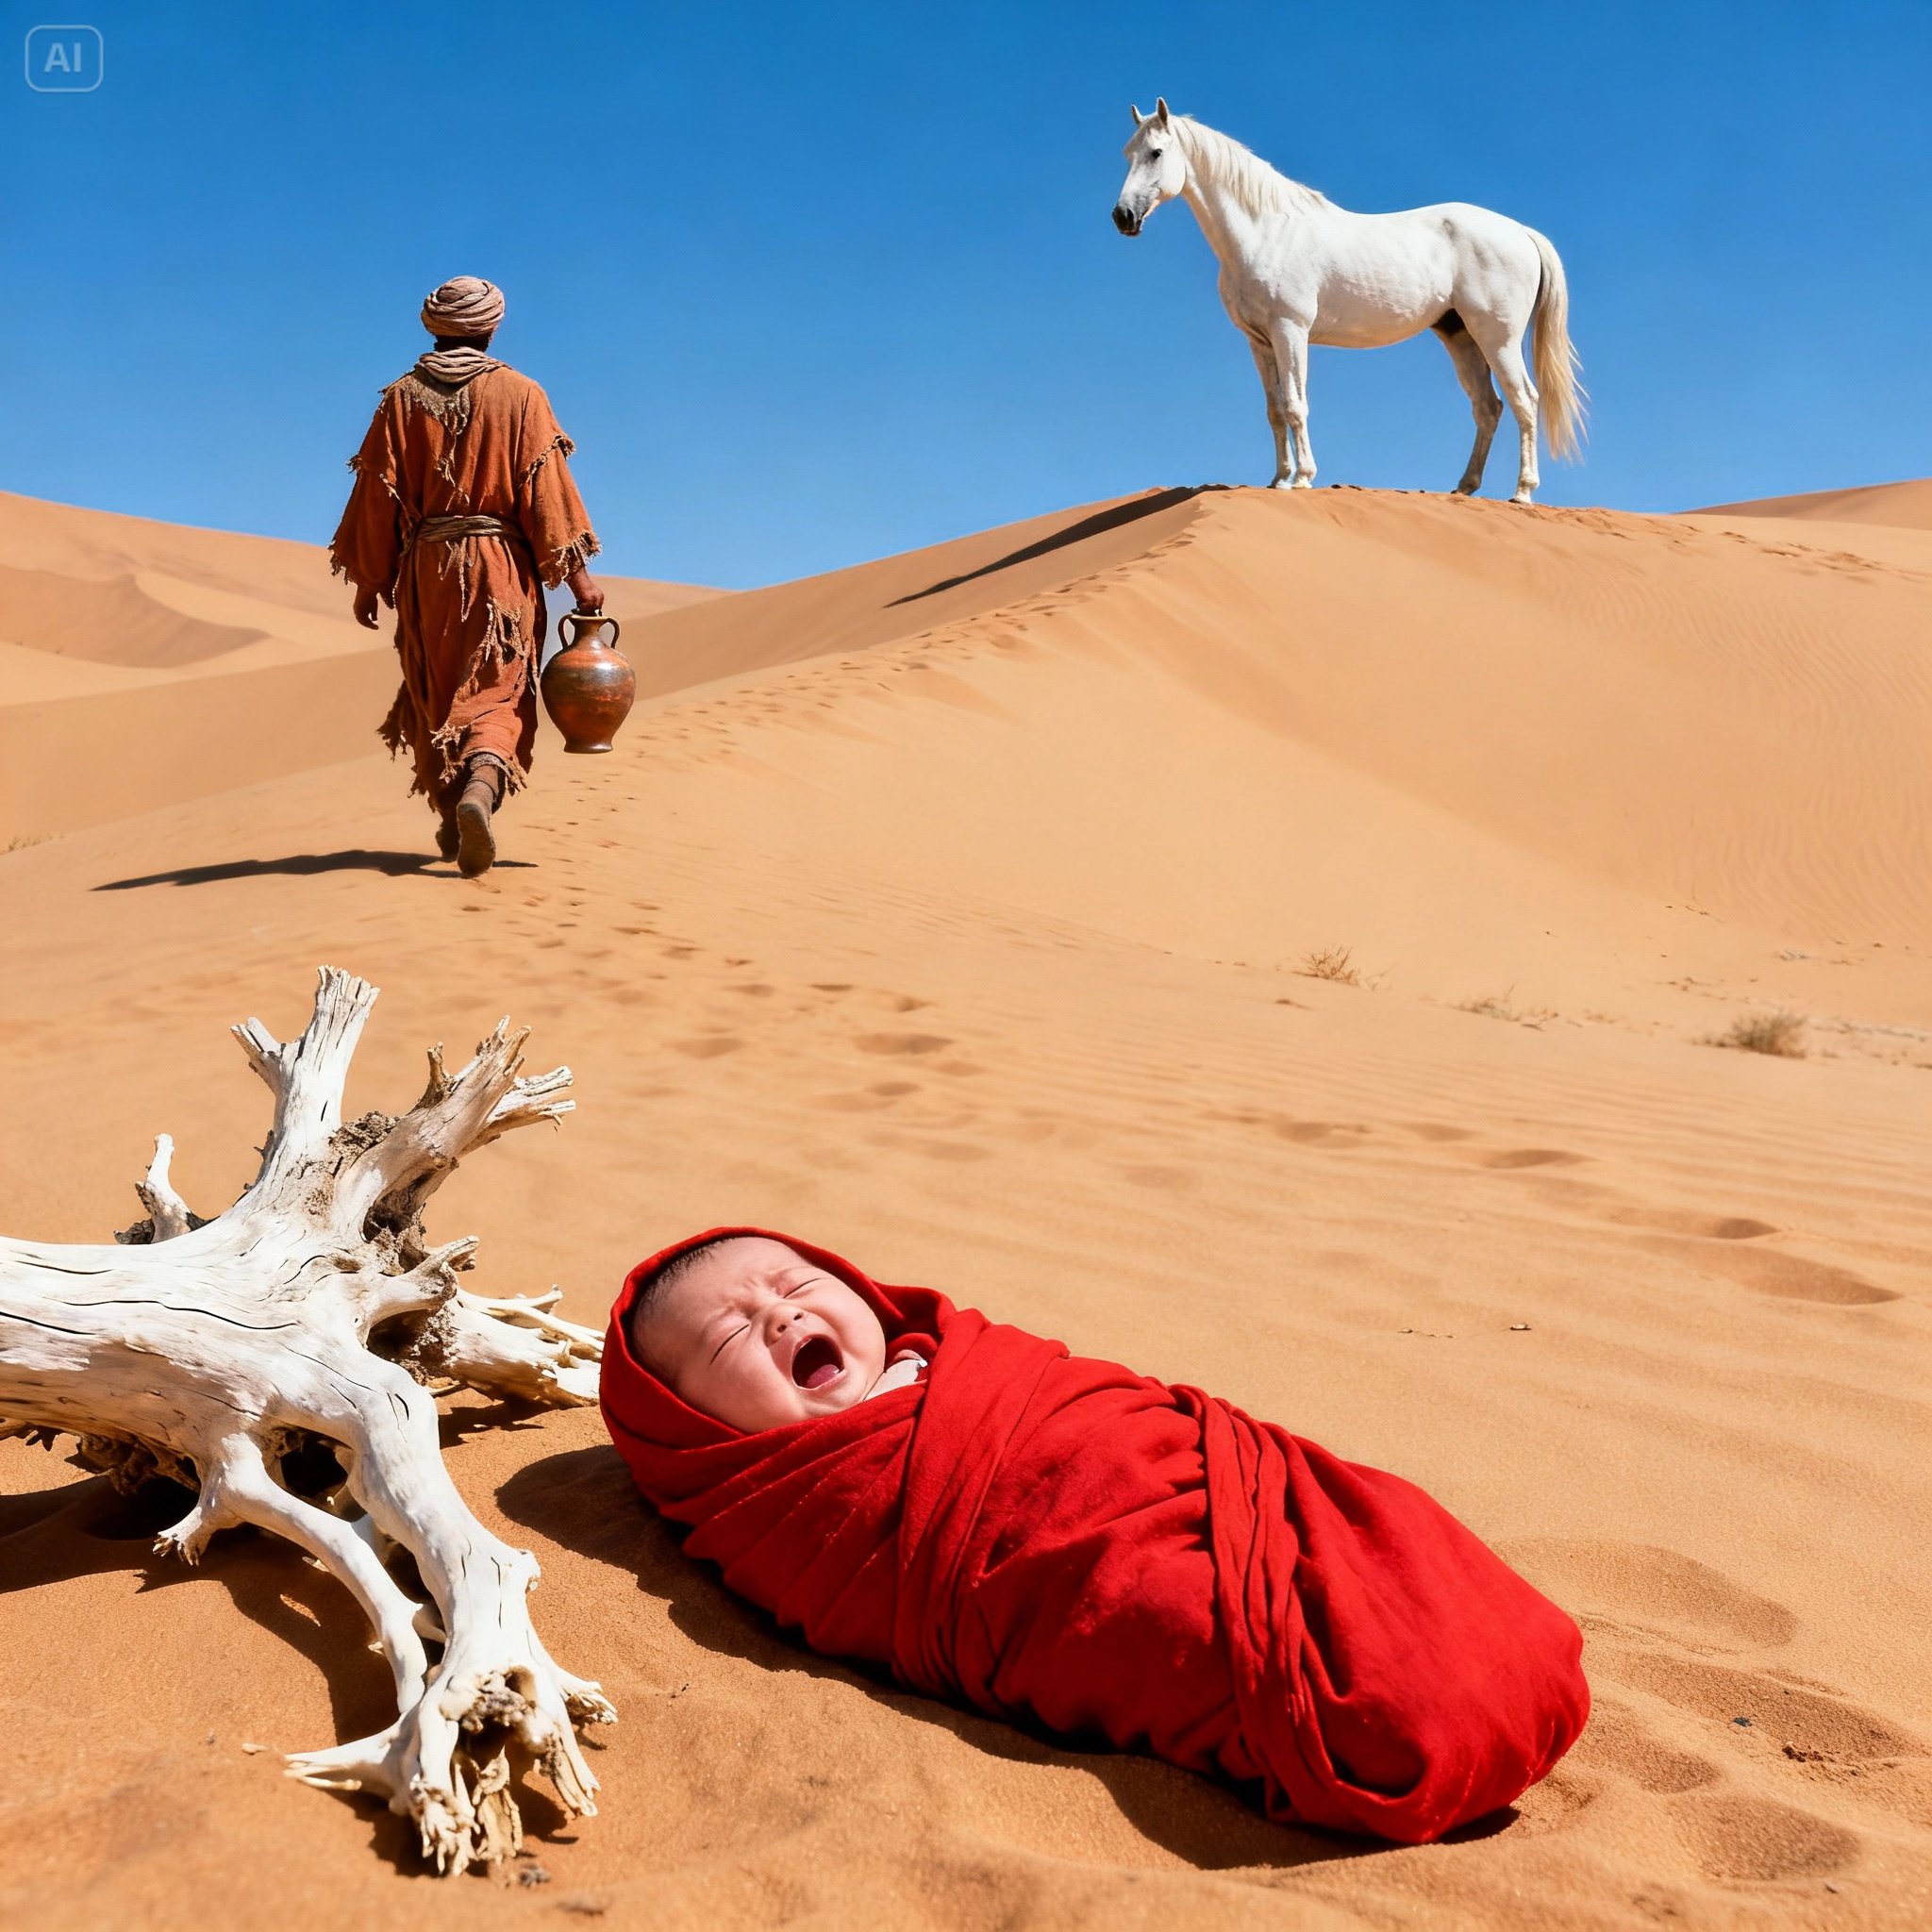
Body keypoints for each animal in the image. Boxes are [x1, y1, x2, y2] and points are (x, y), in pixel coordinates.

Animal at [1112, 100, 1585, 504]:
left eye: (1156, 152)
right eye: (1127, 154)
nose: (1122, 217)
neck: (1265, 232)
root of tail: (1521, 231)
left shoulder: (1290, 331)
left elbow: (1295, 405)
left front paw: (1302, 479)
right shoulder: (1259, 342)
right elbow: (1274, 410)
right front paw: (1278, 478)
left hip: (1497, 339)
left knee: (1525, 401)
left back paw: (1523, 491)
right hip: (1460, 336)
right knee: (1488, 408)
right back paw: (1464, 487)